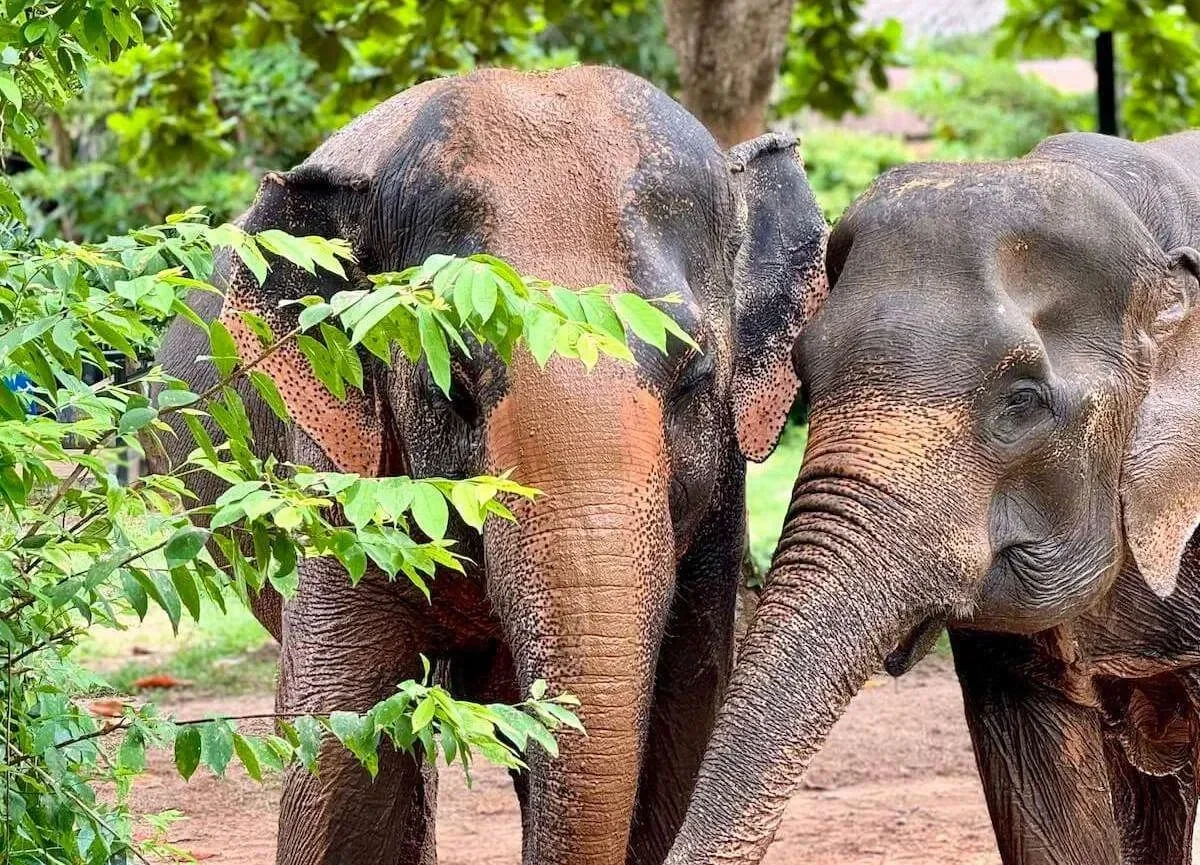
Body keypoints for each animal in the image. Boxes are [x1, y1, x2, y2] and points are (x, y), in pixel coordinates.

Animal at [152, 66, 828, 865]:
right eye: (454, 388)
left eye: (693, 377)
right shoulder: (340, 472)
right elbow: (344, 754)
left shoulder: (719, 493)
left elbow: (682, 722)